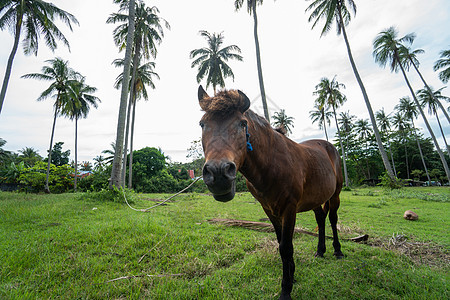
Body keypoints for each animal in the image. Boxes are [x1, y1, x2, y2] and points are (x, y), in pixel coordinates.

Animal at [198, 85, 344, 298]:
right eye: (202, 124)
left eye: (242, 123)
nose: (218, 173)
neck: (272, 163)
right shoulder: (269, 209)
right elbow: (280, 242)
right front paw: (291, 274)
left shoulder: (289, 208)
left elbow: (286, 247)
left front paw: (286, 289)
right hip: (315, 199)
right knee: (320, 219)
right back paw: (320, 250)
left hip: (335, 195)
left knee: (332, 219)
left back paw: (337, 251)